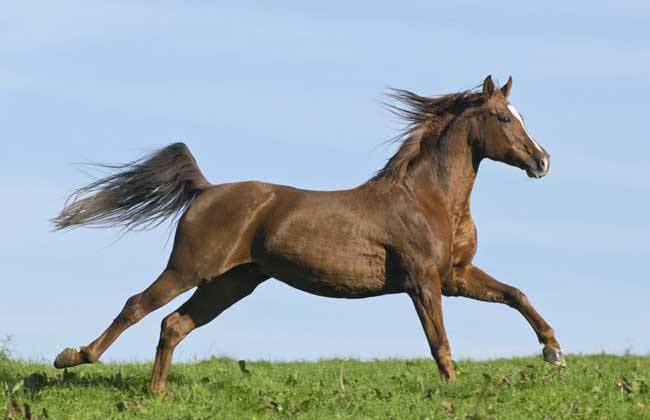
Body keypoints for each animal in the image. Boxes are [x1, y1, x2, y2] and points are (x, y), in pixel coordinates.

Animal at [52, 75, 560, 394]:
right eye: (505, 118)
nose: (542, 161)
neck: (426, 200)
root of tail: (207, 190)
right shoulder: (422, 281)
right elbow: (439, 339)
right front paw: (453, 390)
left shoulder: (455, 276)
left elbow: (515, 294)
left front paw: (553, 352)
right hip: (189, 268)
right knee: (137, 306)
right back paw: (71, 358)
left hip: (231, 283)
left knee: (173, 324)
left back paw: (156, 394)